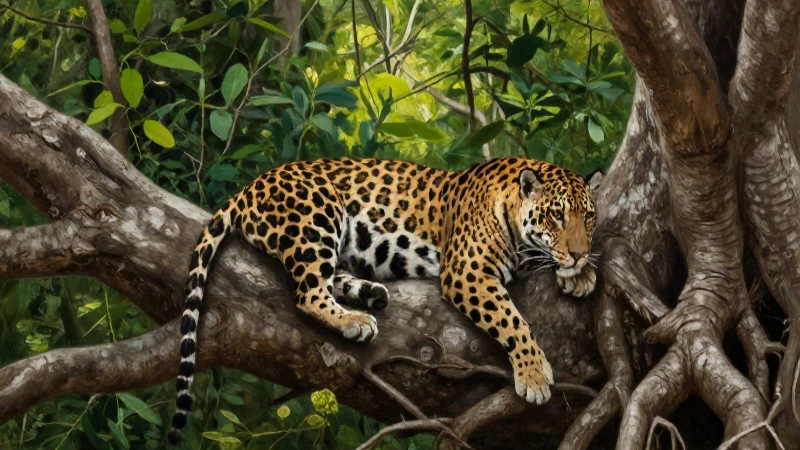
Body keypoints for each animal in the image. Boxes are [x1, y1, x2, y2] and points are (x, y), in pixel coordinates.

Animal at [168, 157, 601, 444]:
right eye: (557, 216)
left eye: (589, 216)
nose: (579, 253)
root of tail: (248, 187)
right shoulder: (467, 271)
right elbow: (511, 319)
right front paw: (533, 374)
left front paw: (580, 274)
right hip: (316, 213)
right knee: (307, 290)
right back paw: (354, 321)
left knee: (328, 277)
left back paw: (370, 294)